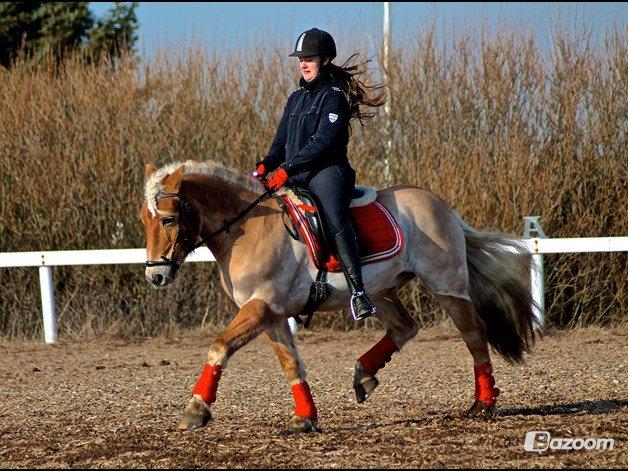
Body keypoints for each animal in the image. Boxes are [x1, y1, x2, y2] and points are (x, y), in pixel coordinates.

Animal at [140, 160, 536, 434]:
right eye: (145, 219)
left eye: (169, 219)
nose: (155, 275)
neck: (250, 227)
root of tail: (443, 207)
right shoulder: (270, 313)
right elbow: (291, 365)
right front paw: (305, 418)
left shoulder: (260, 306)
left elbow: (219, 347)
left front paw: (196, 410)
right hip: (381, 290)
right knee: (405, 327)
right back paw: (364, 375)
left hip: (446, 286)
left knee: (474, 336)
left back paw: (483, 404)